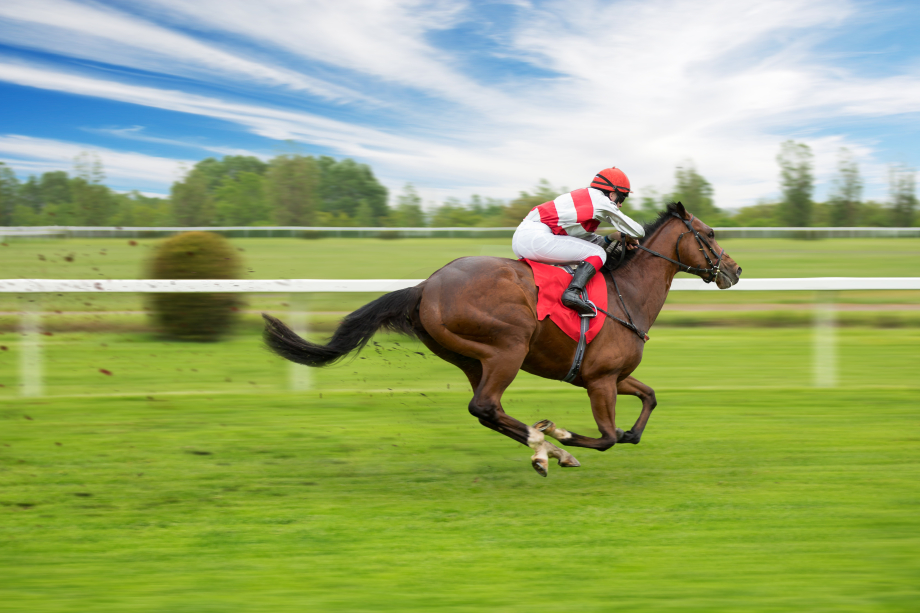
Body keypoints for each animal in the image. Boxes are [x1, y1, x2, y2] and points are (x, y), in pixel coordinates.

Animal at [260, 203, 740, 476]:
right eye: (710, 234)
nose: (735, 270)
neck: (629, 294)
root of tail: (426, 286)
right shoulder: (601, 380)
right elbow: (606, 436)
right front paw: (563, 436)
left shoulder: (612, 375)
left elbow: (647, 403)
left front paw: (578, 439)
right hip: (508, 346)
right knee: (486, 406)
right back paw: (547, 448)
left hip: (472, 359)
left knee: (487, 410)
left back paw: (542, 448)